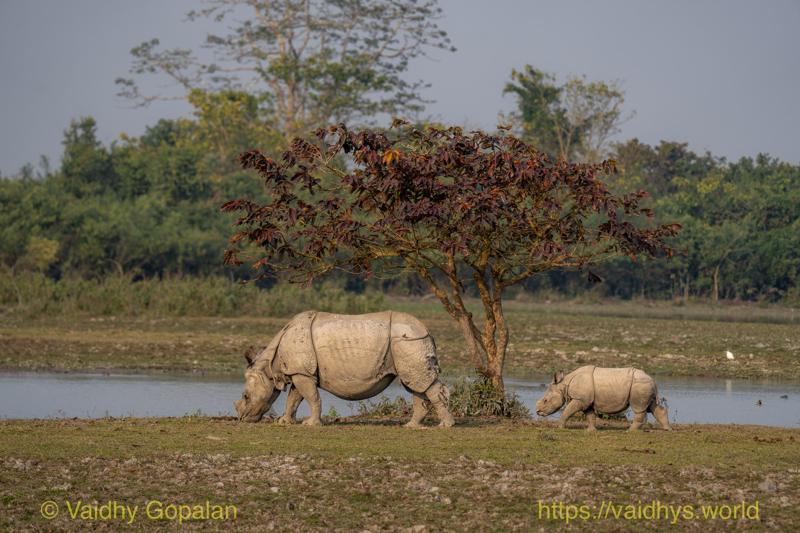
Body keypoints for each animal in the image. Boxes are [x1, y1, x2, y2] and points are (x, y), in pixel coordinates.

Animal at [234, 310, 455, 427]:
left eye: (246, 396)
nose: (242, 418)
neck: (270, 367)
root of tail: (426, 330)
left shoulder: (302, 373)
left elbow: (311, 397)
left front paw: (311, 424)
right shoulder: (300, 371)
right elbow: (294, 399)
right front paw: (284, 422)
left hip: (409, 341)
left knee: (421, 383)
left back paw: (445, 426)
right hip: (407, 343)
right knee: (415, 384)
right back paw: (411, 426)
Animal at [535, 365, 671, 431]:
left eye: (545, 401)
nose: (538, 412)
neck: (564, 385)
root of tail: (653, 380)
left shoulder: (580, 399)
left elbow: (567, 411)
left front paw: (559, 427)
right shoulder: (586, 400)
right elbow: (590, 415)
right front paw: (591, 431)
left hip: (639, 385)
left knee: (639, 408)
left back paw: (630, 431)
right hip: (645, 385)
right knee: (652, 407)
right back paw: (667, 429)